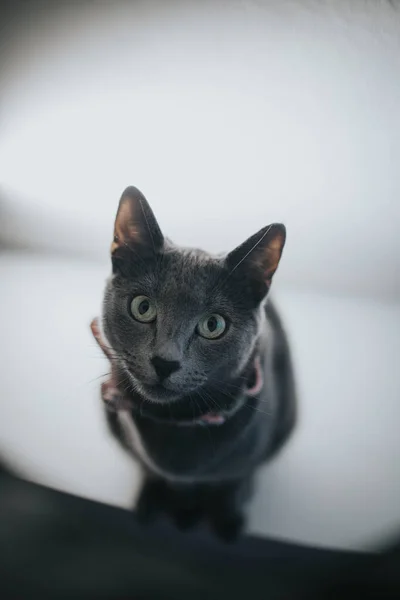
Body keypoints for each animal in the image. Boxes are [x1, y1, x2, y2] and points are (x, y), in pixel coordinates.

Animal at [92, 186, 296, 540]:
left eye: (213, 325)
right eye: (142, 307)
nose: (165, 362)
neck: (177, 420)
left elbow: (234, 478)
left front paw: (228, 517)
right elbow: (149, 469)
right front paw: (150, 498)